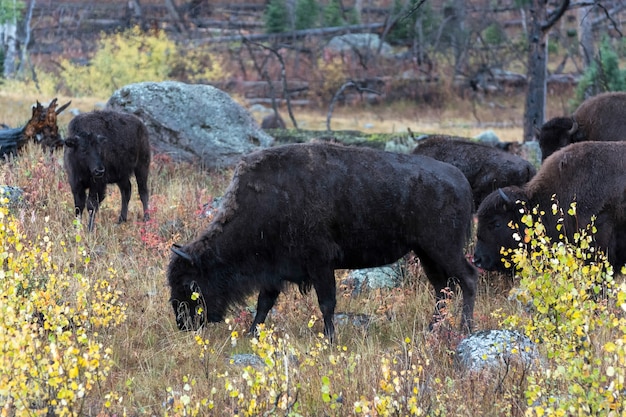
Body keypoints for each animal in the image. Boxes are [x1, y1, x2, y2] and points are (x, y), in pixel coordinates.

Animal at [168, 142, 476, 342]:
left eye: (190, 284)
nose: (183, 323)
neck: (266, 203)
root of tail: (461, 179)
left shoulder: (320, 265)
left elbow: (326, 303)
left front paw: (330, 339)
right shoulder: (274, 272)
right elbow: (264, 304)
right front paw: (251, 334)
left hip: (443, 250)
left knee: (468, 278)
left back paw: (466, 329)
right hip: (426, 254)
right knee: (442, 290)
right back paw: (431, 330)